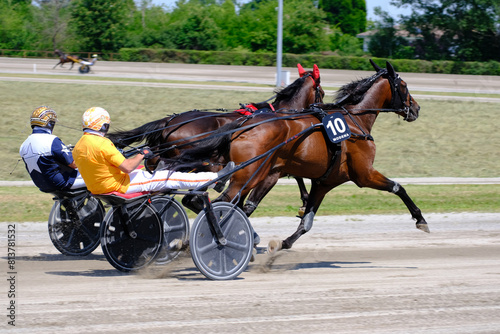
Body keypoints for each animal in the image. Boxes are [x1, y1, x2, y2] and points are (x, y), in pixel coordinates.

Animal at [176, 60, 430, 252]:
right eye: (404, 85)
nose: (416, 109)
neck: (354, 120)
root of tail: (242, 125)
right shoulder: (364, 174)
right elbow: (398, 187)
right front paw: (421, 219)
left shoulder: (323, 182)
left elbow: (306, 221)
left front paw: (282, 243)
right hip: (248, 174)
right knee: (222, 202)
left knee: (208, 201)